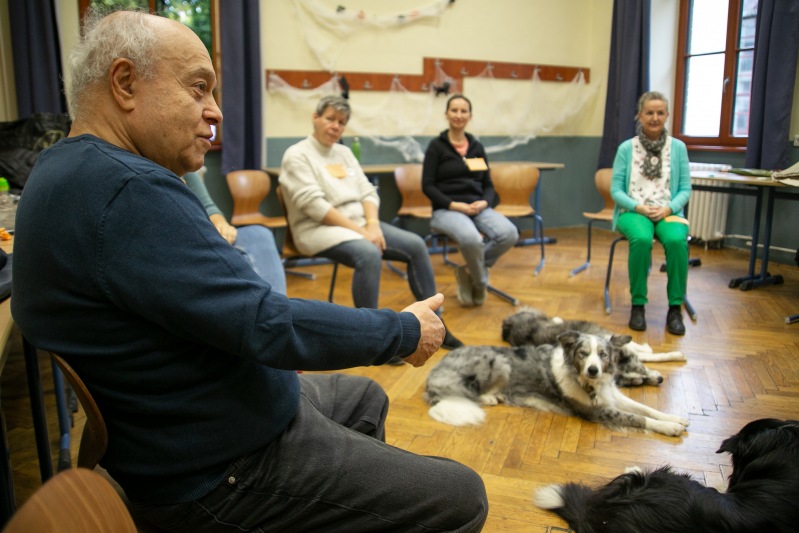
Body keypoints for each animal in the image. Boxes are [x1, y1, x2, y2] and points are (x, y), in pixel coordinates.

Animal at [422, 328, 692, 436]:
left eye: (603, 355)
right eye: (582, 353)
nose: (593, 370)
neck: (587, 383)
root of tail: (432, 374)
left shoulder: (613, 395)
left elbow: (646, 409)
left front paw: (674, 418)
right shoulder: (597, 412)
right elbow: (637, 418)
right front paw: (670, 428)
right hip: (498, 361)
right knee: (469, 393)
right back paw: (490, 396)